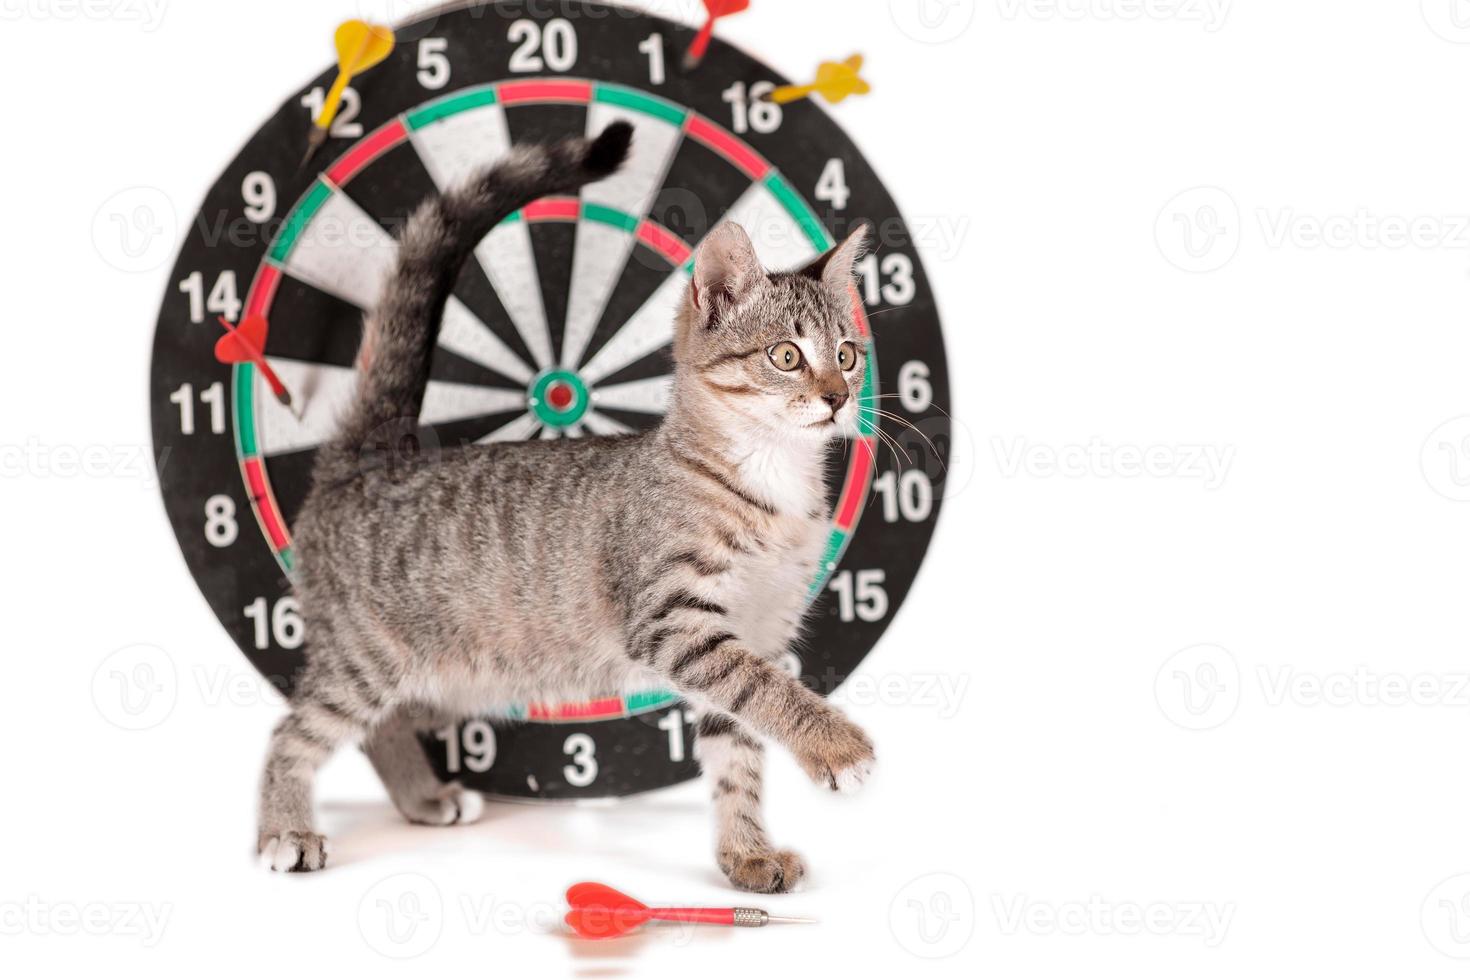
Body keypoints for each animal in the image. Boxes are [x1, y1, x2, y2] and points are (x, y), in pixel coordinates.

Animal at [255, 119, 870, 893]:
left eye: (847, 354)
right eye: (786, 356)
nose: (838, 397)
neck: (770, 485)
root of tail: (373, 453)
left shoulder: (757, 629)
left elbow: (739, 753)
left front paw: (746, 856)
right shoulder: (677, 623)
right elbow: (767, 692)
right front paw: (836, 744)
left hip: (447, 667)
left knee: (386, 727)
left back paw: (422, 798)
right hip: (365, 654)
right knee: (294, 730)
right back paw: (285, 829)